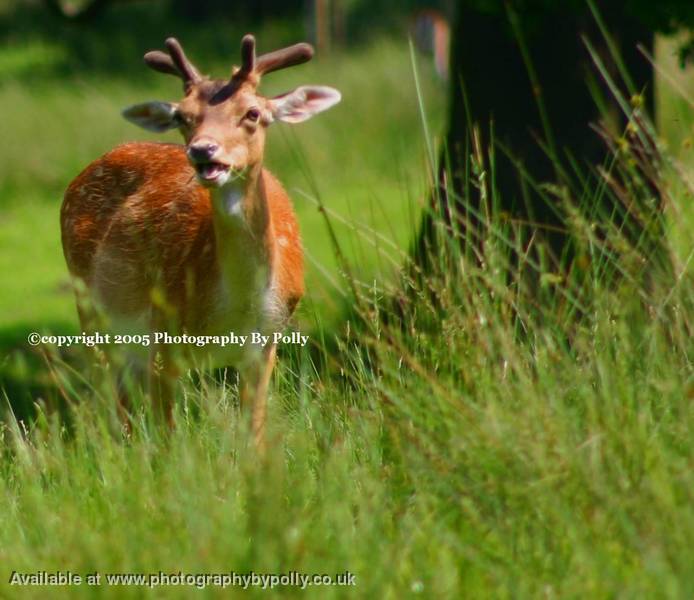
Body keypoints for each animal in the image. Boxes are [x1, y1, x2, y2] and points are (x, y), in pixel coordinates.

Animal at [61, 34, 344, 446]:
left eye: (253, 113)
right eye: (182, 116)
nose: (202, 150)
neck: (235, 307)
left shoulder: (267, 341)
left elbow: (253, 436)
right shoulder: (163, 329)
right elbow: (167, 438)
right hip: (92, 312)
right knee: (112, 405)